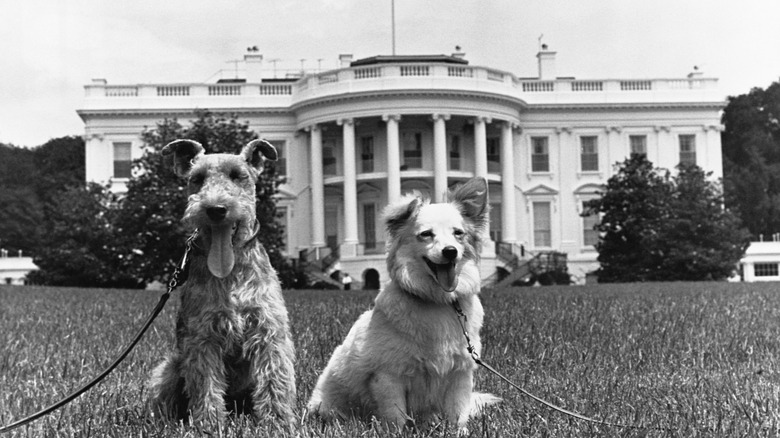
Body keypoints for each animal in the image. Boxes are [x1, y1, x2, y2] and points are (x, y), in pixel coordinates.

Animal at [149, 139, 296, 424]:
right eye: (197, 179)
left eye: (237, 175)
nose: (216, 209)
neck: (231, 272)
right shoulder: (203, 337)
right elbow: (206, 386)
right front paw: (209, 424)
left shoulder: (268, 332)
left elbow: (274, 380)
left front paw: (278, 422)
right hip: (170, 367)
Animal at [306, 177, 500, 432]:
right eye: (426, 234)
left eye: (459, 233)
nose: (450, 251)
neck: (438, 301)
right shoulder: (389, 376)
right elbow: (395, 416)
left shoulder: (460, 372)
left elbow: (457, 413)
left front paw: (459, 431)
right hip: (327, 404)